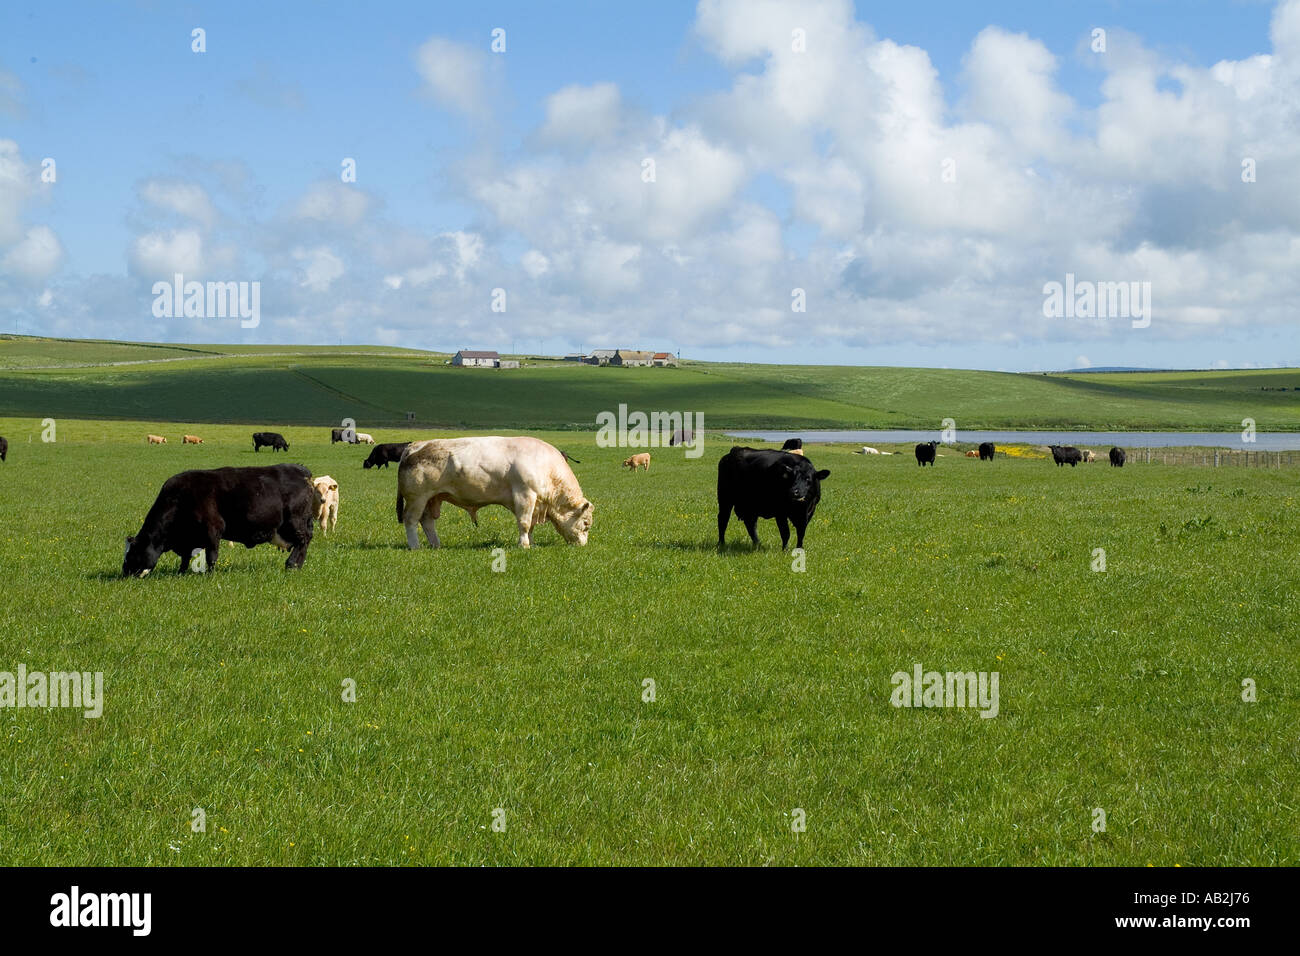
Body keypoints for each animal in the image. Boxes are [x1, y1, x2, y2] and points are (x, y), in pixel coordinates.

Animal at [122, 464, 319, 576]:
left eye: (133, 552)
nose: (125, 572)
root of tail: (300, 470)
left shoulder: (213, 529)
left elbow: (212, 556)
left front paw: (210, 575)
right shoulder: (188, 540)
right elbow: (185, 558)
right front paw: (180, 573)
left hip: (295, 521)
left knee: (304, 540)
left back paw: (292, 565)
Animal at [397, 436, 593, 550]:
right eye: (585, 523)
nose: (583, 545)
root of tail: (415, 446)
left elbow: (530, 525)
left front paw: (531, 542)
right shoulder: (525, 494)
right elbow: (524, 523)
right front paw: (524, 545)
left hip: (431, 499)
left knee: (427, 521)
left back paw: (436, 544)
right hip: (417, 498)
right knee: (411, 520)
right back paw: (415, 546)